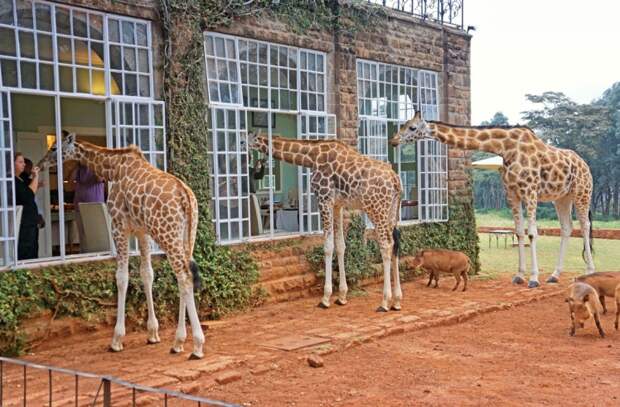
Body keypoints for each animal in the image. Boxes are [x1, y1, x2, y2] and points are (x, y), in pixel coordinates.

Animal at [37, 134, 206, 360]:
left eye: (54, 147)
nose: (39, 164)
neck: (113, 168)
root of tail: (186, 198)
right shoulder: (142, 231)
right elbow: (147, 274)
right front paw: (153, 333)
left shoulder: (118, 226)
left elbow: (122, 277)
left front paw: (116, 339)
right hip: (187, 235)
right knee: (183, 277)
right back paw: (178, 343)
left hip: (167, 235)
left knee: (185, 277)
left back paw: (196, 346)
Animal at [245, 131, 404, 312]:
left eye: (245, 140)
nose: (243, 153)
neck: (312, 157)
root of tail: (396, 181)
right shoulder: (338, 205)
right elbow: (340, 245)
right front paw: (342, 296)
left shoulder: (324, 199)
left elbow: (328, 247)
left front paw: (325, 298)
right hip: (392, 211)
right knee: (395, 244)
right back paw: (397, 301)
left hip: (376, 208)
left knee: (386, 245)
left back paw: (384, 302)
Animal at [390, 111, 592, 288]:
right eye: (403, 125)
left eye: (412, 127)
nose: (393, 140)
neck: (506, 148)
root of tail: (585, 164)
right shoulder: (512, 193)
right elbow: (519, 232)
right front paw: (519, 276)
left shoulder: (530, 191)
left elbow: (532, 233)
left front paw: (534, 279)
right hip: (561, 198)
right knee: (567, 228)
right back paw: (554, 275)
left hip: (582, 192)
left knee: (585, 226)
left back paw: (589, 272)